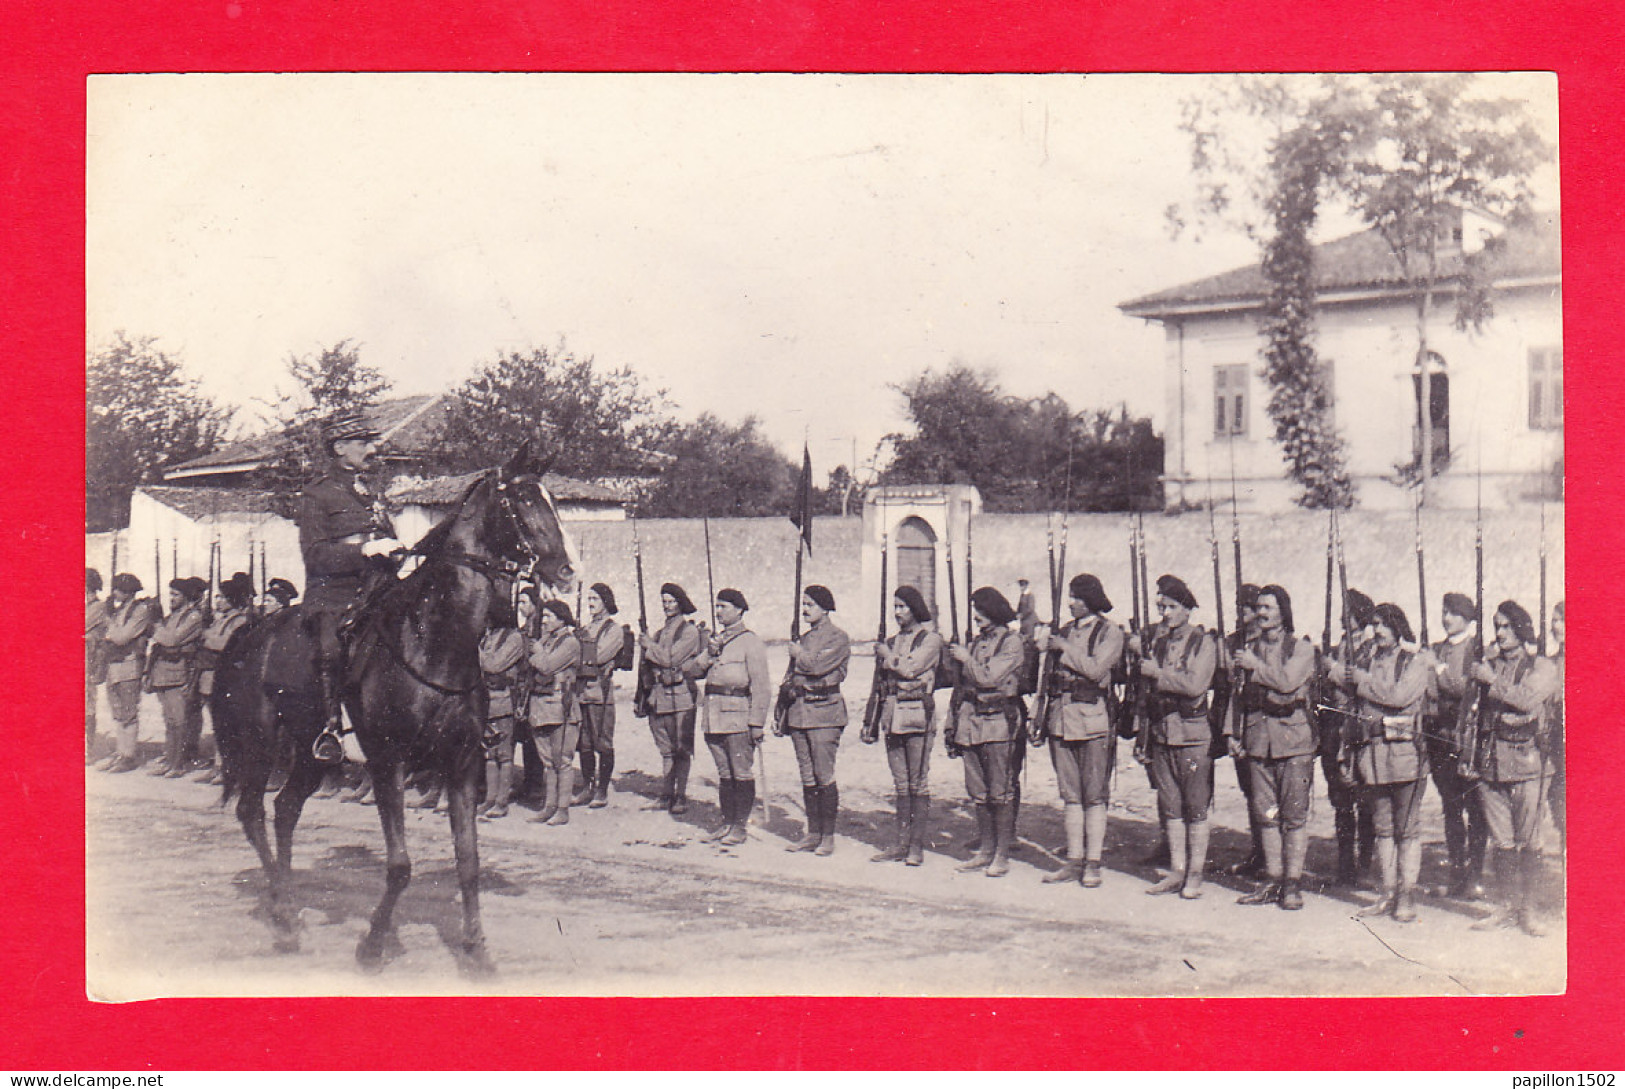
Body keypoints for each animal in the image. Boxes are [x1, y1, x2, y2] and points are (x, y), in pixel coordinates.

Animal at [212, 448, 575, 975]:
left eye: (552, 499)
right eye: (524, 502)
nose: (566, 570)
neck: (434, 640)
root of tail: (246, 635)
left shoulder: (463, 761)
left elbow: (468, 860)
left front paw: (476, 950)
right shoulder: (388, 762)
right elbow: (400, 865)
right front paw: (373, 945)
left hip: (309, 753)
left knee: (284, 811)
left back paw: (293, 908)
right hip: (260, 746)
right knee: (252, 812)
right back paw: (282, 918)